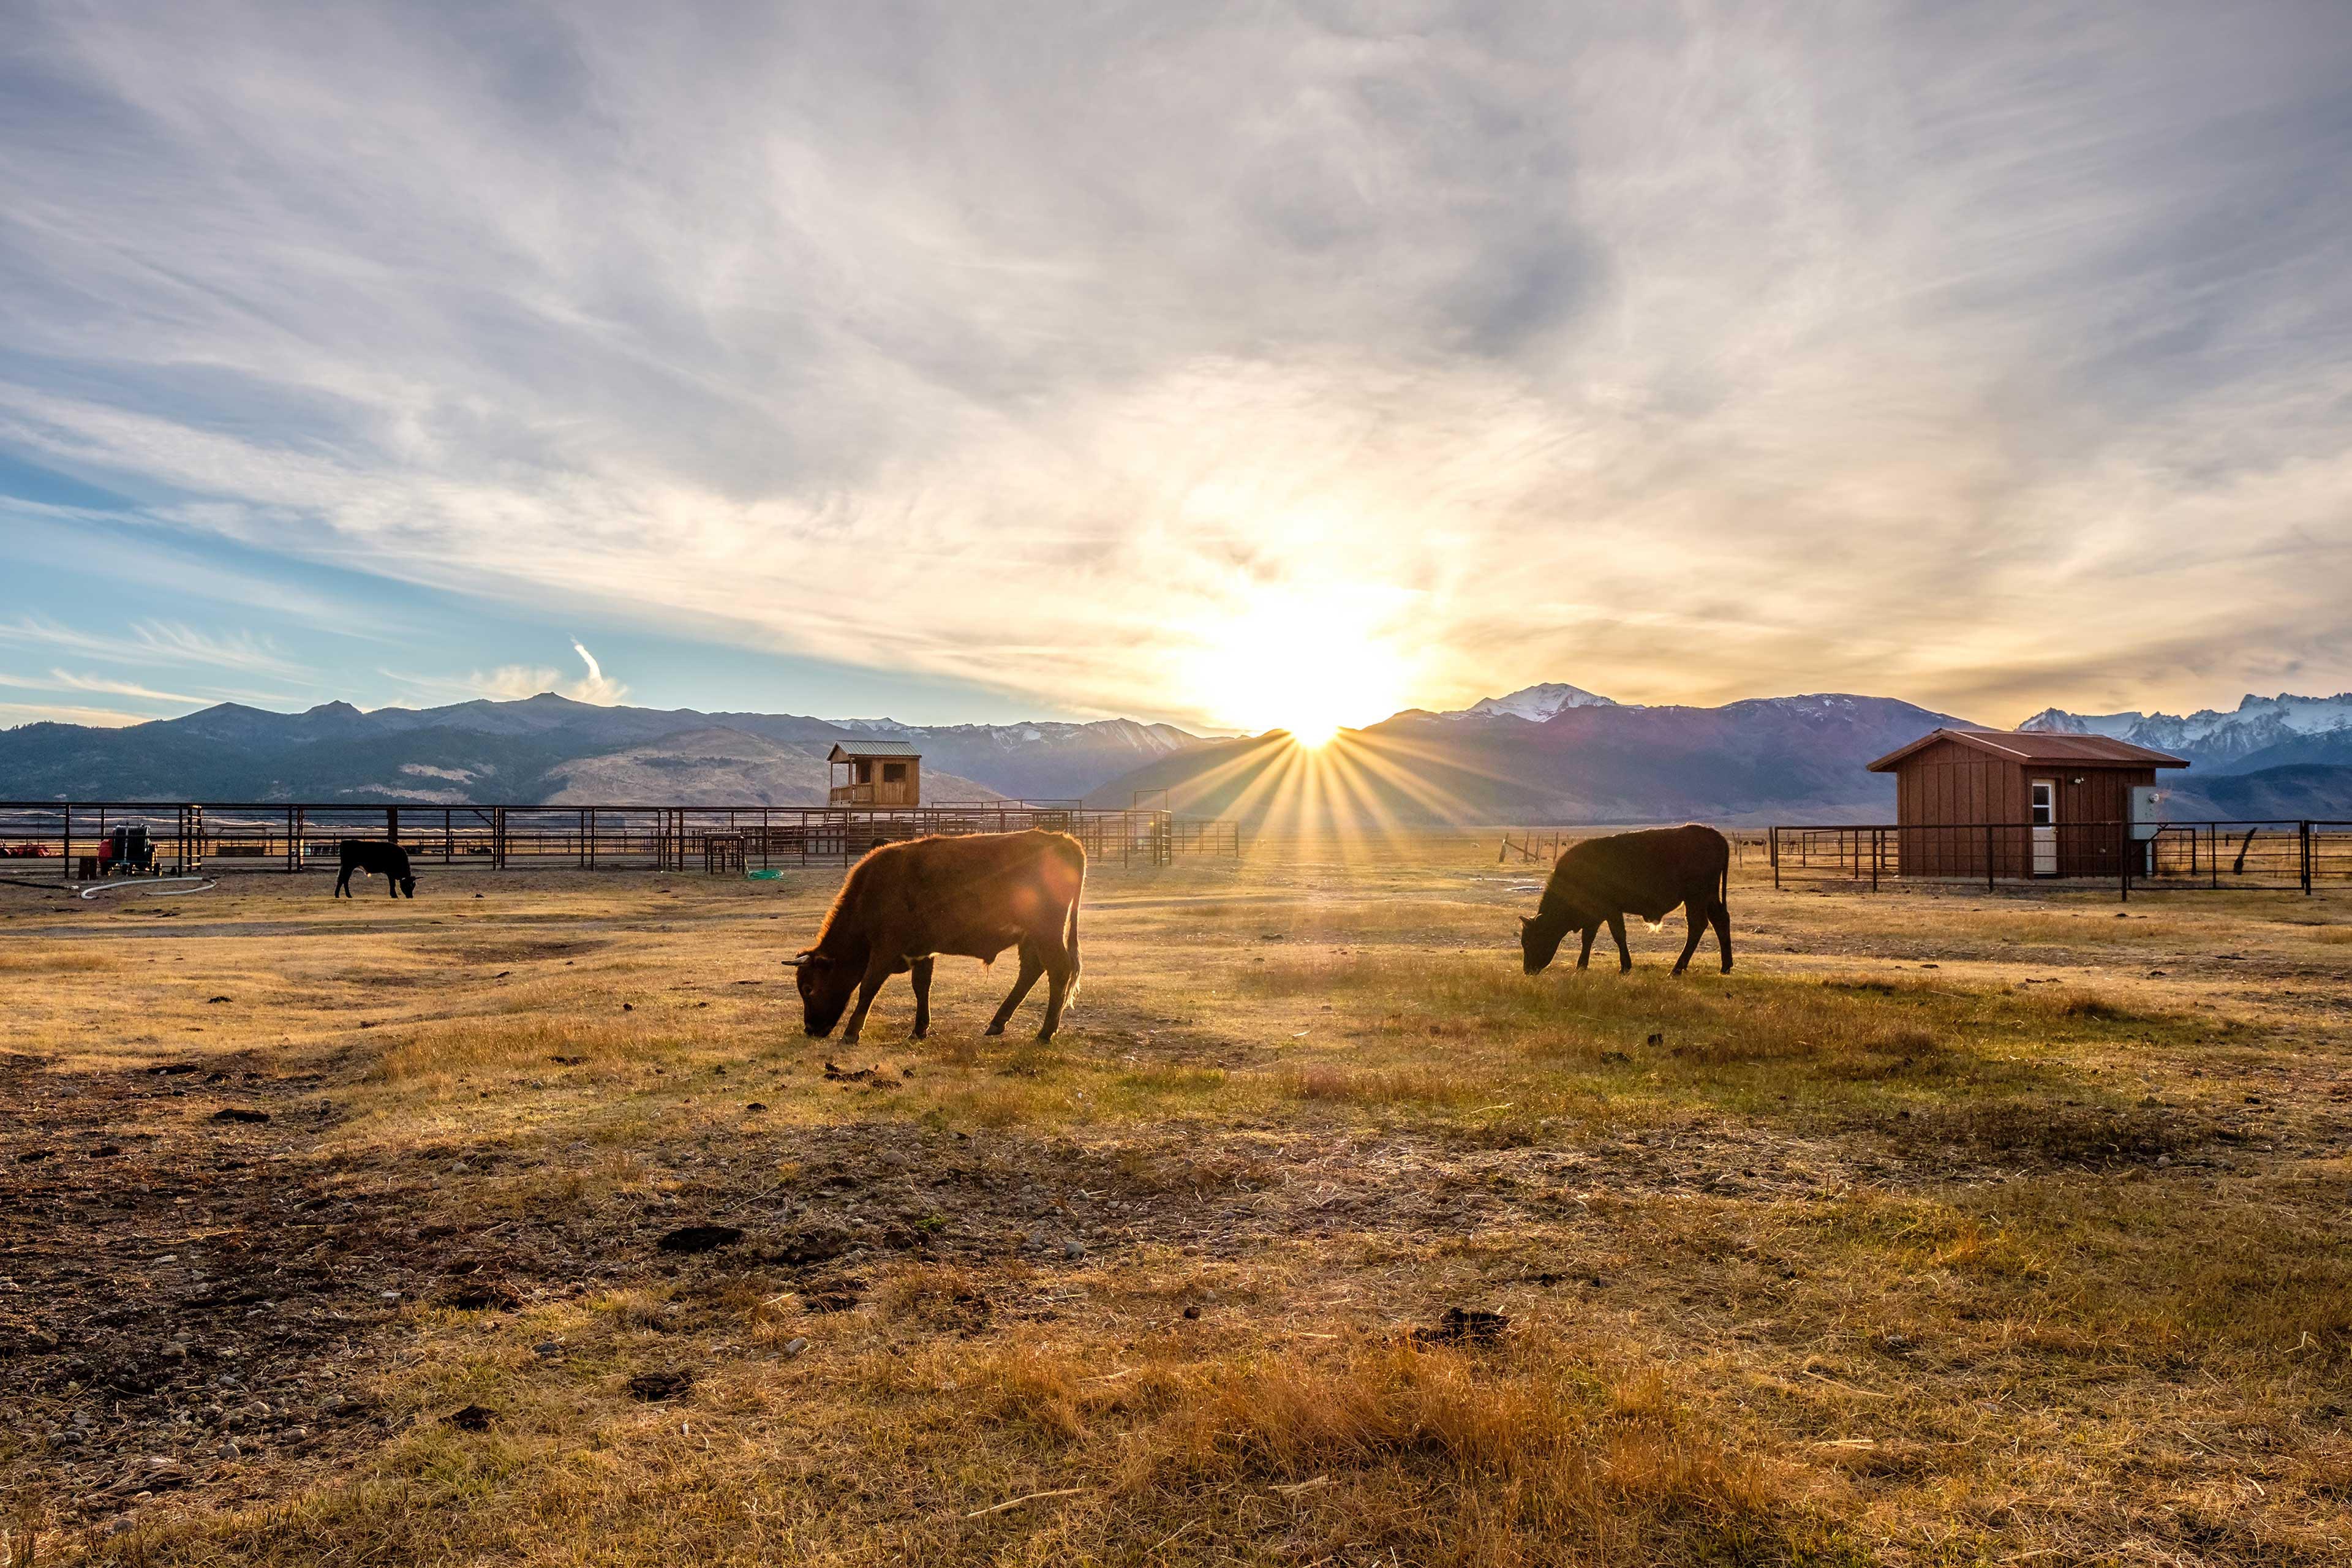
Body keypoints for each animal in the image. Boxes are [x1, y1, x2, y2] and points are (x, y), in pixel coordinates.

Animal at [334, 842, 416, 902]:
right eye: (407, 885)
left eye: (413, 886)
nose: (411, 896)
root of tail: (345, 842)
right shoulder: (390, 873)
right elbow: (392, 884)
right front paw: (394, 895)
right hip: (348, 867)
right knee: (343, 880)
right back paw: (343, 895)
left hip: (348, 868)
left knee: (343, 880)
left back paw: (343, 895)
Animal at [785, 827, 1087, 1048]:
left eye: (808, 988)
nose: (810, 1029)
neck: (870, 893)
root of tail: (1064, 841)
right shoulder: (922, 951)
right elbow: (921, 987)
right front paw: (919, 1029)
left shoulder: (885, 950)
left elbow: (869, 987)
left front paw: (851, 1033)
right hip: (1031, 936)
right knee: (1031, 970)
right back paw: (998, 1022)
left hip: (1046, 932)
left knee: (1059, 970)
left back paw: (1045, 1033)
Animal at [1514, 827, 1740, 973]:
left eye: (1529, 940)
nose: (1528, 970)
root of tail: (1716, 836)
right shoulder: (1594, 916)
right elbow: (1588, 938)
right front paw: (1581, 966)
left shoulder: (1611, 911)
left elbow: (1618, 935)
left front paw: (1624, 967)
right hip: (1709, 897)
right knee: (1720, 920)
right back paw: (1725, 967)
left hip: (1696, 897)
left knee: (1697, 925)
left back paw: (1677, 969)